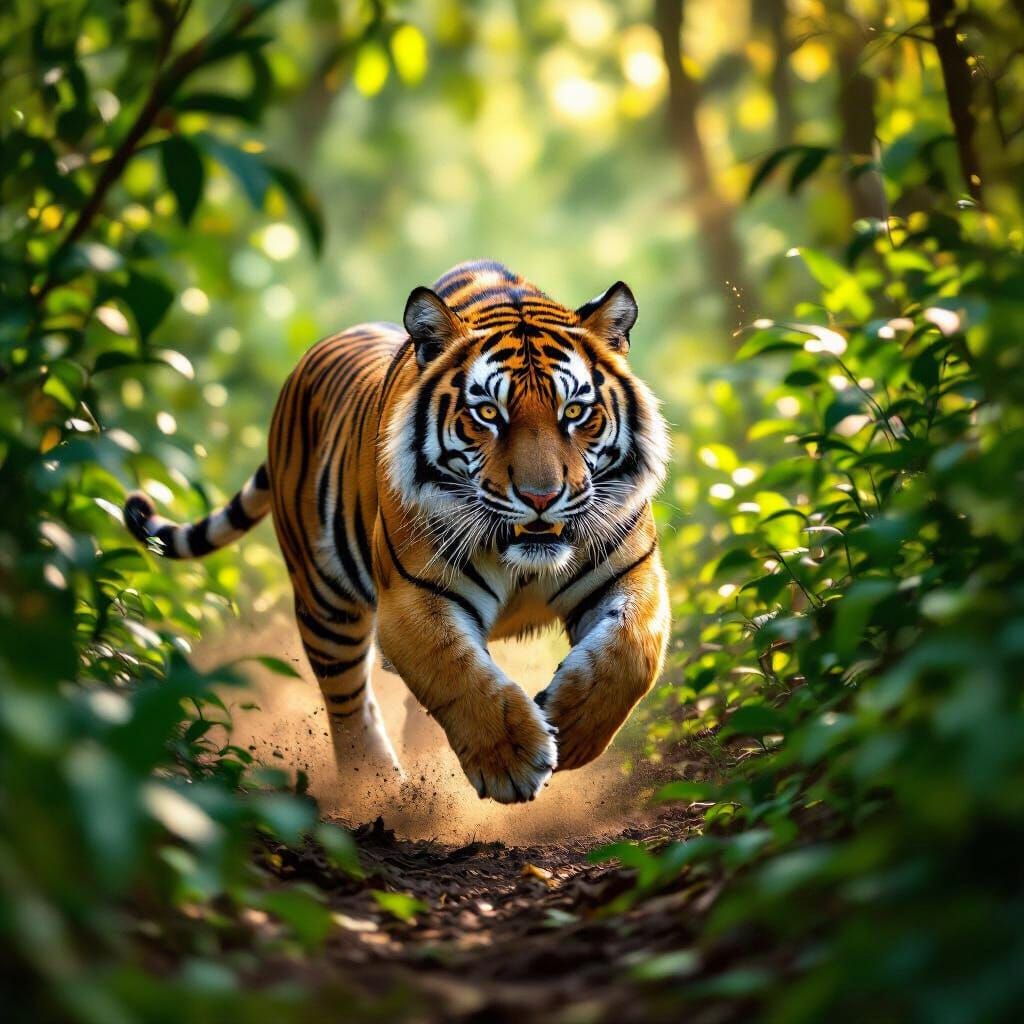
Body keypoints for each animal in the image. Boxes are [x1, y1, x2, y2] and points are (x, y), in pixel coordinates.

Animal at [124, 260, 671, 804]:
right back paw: (378, 791)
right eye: (487, 414)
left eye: (574, 411)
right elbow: (453, 668)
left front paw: (571, 730)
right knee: (347, 703)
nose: (541, 497)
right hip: (326, 603)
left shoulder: (632, 573)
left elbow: (633, 652)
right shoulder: (412, 598)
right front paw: (510, 759)